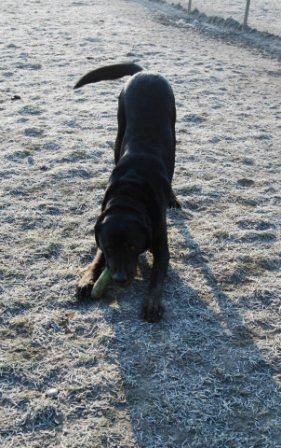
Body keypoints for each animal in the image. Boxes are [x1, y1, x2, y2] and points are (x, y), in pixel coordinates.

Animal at [74, 63, 178, 322]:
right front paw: (87, 278)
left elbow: (157, 278)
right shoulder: (102, 228)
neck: (129, 195)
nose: (119, 279)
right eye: (110, 248)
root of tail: (145, 72)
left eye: (132, 246)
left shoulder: (161, 244)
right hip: (119, 126)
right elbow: (97, 258)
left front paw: (152, 303)